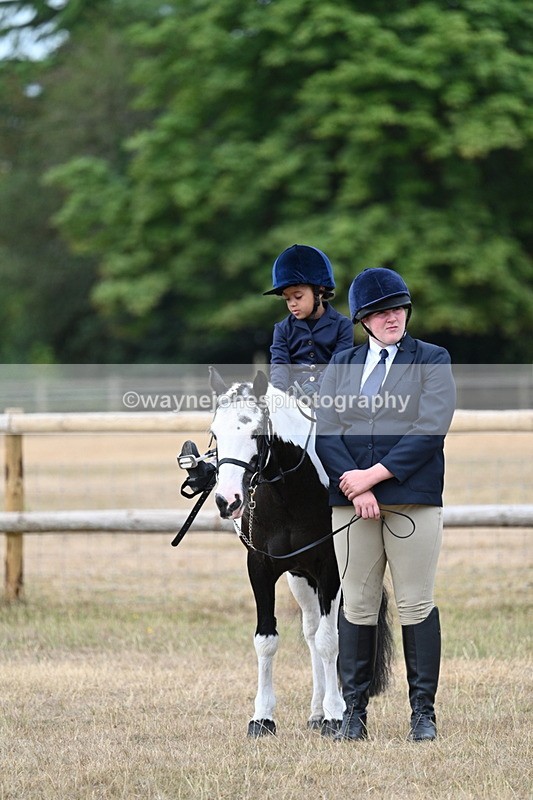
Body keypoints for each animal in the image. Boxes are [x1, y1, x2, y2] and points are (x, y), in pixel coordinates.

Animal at [207, 367, 393, 737]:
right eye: (215, 433)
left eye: (256, 432)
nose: (227, 501)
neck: (289, 491)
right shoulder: (260, 566)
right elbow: (266, 639)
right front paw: (262, 717)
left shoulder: (331, 568)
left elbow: (331, 640)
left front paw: (337, 715)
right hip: (300, 577)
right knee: (310, 631)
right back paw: (316, 712)